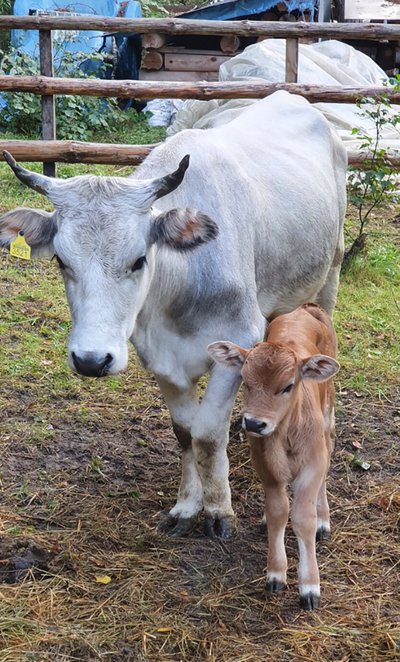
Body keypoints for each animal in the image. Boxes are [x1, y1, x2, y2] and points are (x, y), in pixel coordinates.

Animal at [0, 91, 347, 540]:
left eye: (138, 259)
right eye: (61, 260)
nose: (91, 360)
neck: (180, 290)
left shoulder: (237, 340)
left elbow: (208, 435)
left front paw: (218, 510)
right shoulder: (159, 356)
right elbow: (185, 433)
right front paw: (186, 506)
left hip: (329, 275)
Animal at [208, 303, 340, 609]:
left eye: (288, 386)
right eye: (244, 381)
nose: (255, 423)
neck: (285, 437)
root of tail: (306, 308)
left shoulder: (313, 463)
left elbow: (303, 517)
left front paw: (309, 586)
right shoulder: (264, 465)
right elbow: (279, 510)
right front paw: (276, 573)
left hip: (327, 414)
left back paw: (323, 518)